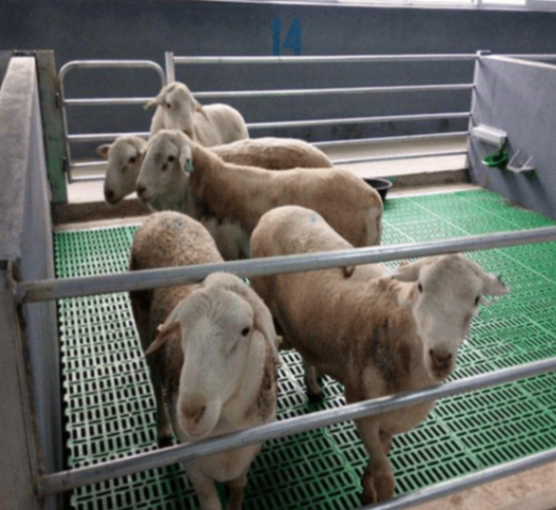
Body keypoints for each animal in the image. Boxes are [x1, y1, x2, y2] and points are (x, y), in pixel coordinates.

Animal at [130, 211, 279, 510]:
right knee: (154, 379)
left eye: (245, 330)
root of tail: (162, 214)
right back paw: (163, 428)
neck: (225, 429)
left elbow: (238, 488)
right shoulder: (195, 470)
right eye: (182, 328)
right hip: (141, 323)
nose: (190, 412)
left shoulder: (246, 455)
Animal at [249, 205, 510, 505]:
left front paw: (365, 485)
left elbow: (381, 456)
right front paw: (375, 497)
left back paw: (313, 385)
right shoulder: (361, 409)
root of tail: (278, 210)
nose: (441, 357)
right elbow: (385, 476)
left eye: (476, 299)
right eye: (421, 287)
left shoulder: (389, 423)